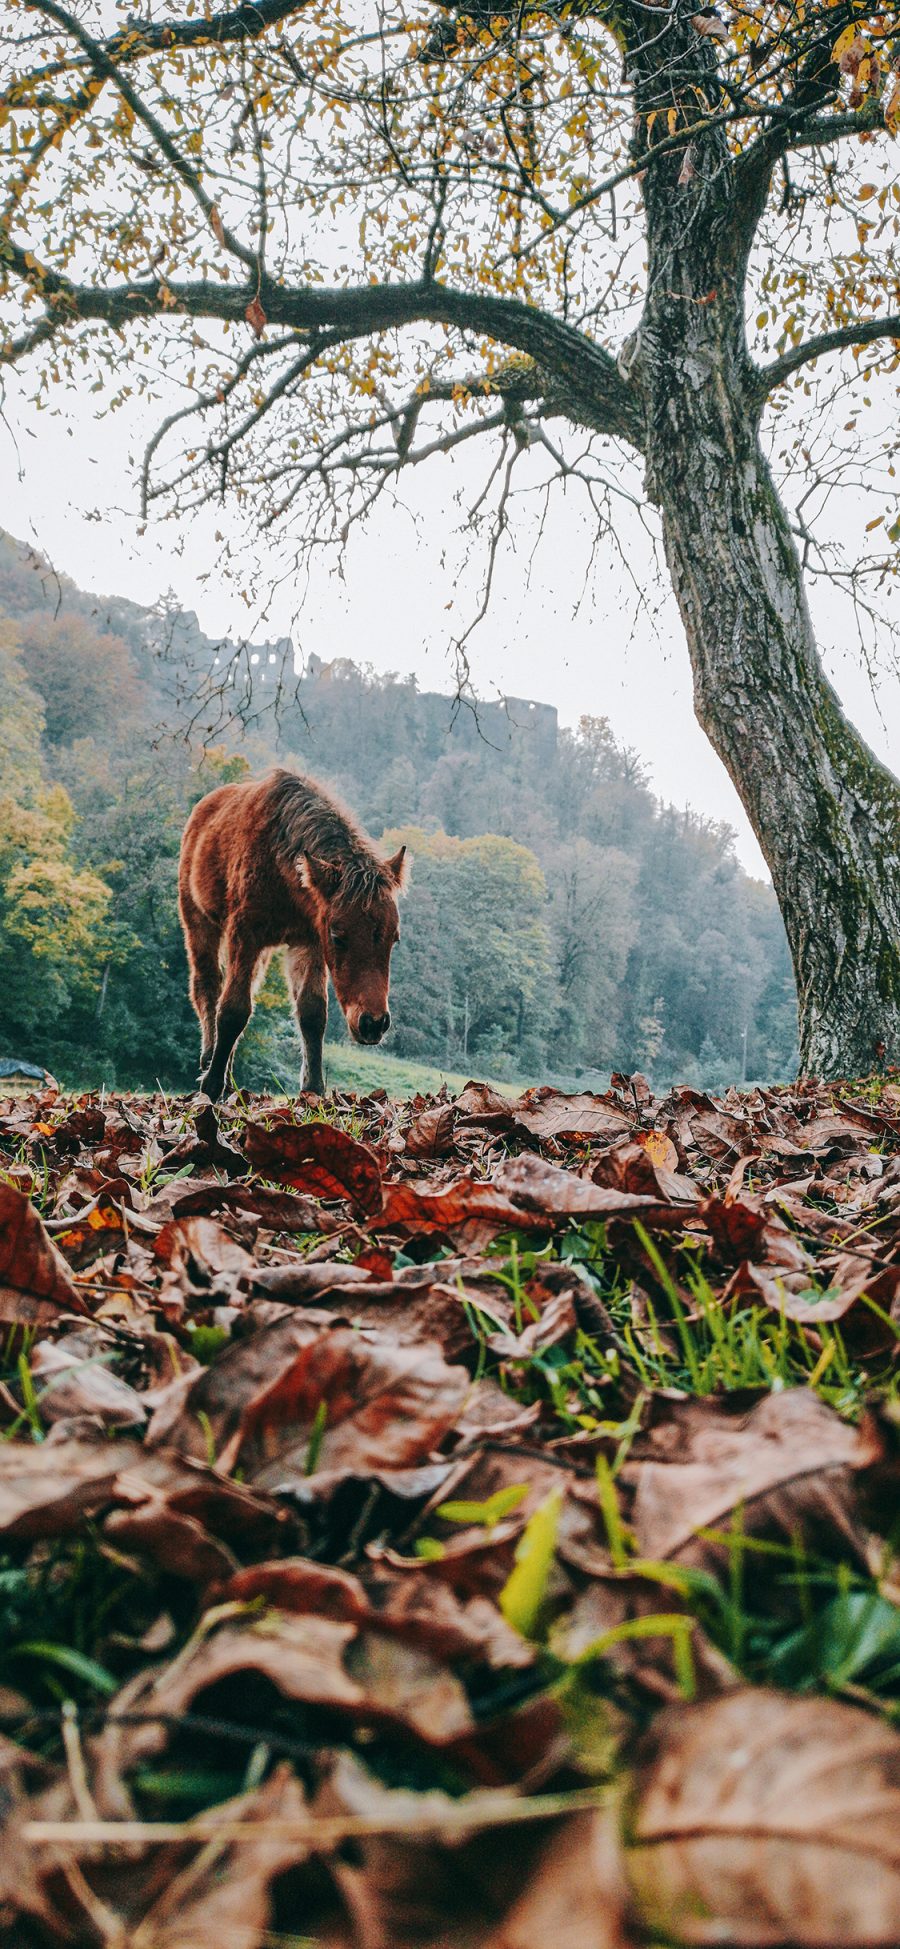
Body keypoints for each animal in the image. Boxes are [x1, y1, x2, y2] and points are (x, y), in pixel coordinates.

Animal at [176, 764, 407, 1099]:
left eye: (393, 938)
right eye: (338, 937)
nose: (373, 1024)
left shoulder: (307, 943)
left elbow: (312, 1013)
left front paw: (313, 1089)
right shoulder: (245, 934)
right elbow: (233, 1009)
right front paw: (212, 1085)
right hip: (199, 922)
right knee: (207, 986)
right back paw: (210, 1063)